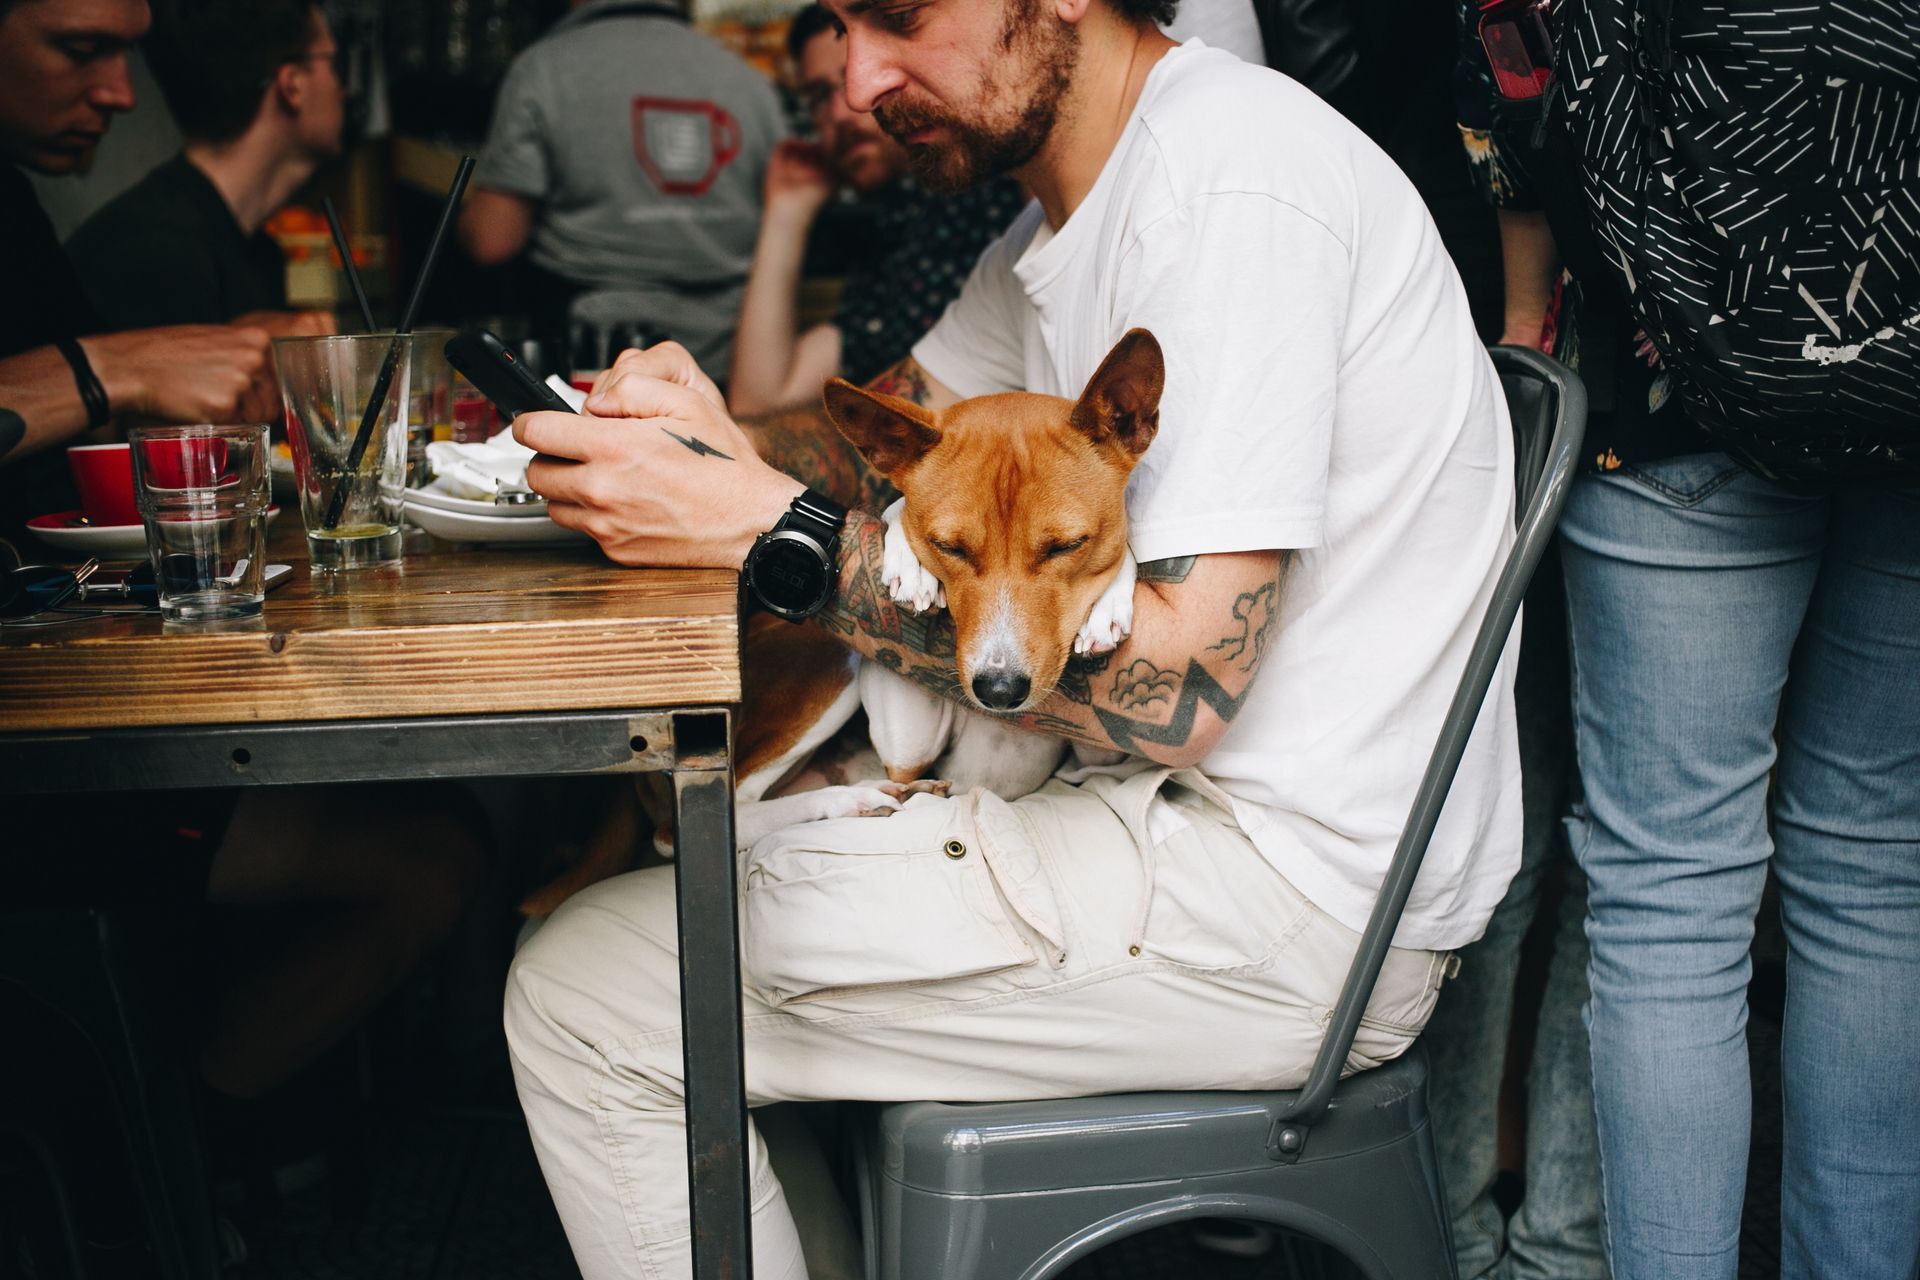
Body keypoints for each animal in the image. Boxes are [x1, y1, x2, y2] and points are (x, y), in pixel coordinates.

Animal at [518, 328, 1159, 909]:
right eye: (948, 547)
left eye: (1067, 546)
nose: (998, 689)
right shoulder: (905, 744)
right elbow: (899, 509)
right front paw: (904, 559)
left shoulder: (1098, 753)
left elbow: (1125, 554)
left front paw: (1109, 604)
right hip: (833, 658)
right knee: (700, 822)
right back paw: (850, 800)